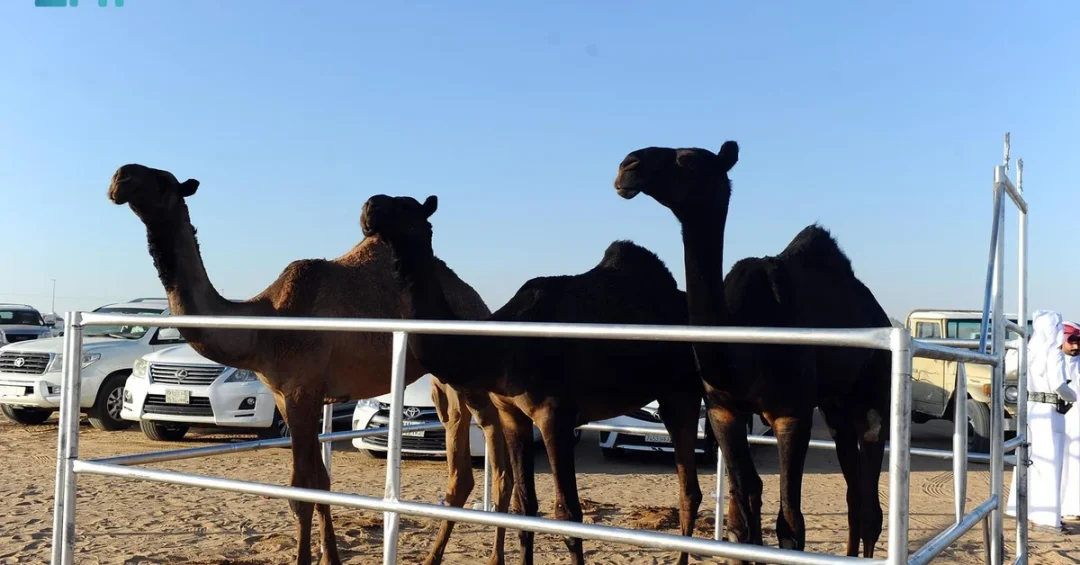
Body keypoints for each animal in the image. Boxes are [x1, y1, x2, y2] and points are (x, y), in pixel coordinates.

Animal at [107, 164, 514, 565]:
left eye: (162, 181)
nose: (120, 178)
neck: (263, 327)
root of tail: (479, 303)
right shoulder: (286, 396)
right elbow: (321, 483)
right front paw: (330, 558)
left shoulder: (301, 390)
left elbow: (301, 491)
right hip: (443, 382)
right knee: (459, 466)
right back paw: (433, 557)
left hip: (472, 374)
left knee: (498, 452)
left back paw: (495, 554)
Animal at [359, 194, 706, 565]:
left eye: (406, 207)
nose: (369, 207)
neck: (498, 345)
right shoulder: (512, 413)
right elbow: (525, 507)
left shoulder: (555, 414)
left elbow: (568, 514)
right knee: (688, 490)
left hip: (684, 391)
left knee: (691, 490)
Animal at [613, 142, 891, 561]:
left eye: (687, 159)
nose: (627, 166)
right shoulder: (723, 411)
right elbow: (743, 513)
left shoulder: (792, 414)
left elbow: (791, 523)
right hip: (835, 405)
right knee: (853, 494)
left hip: (875, 389)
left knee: (872, 499)